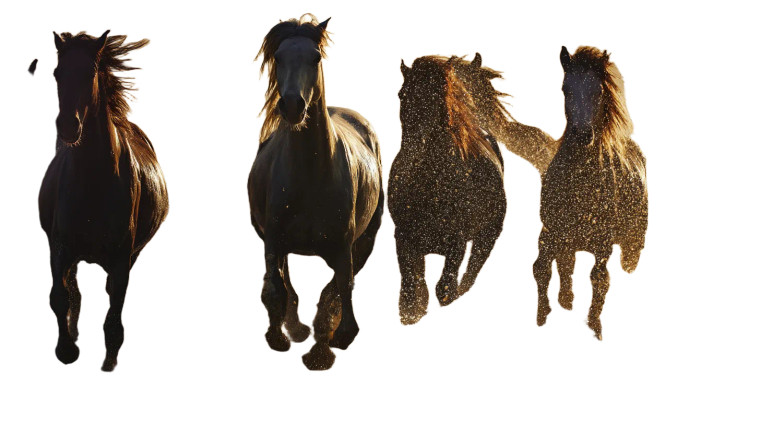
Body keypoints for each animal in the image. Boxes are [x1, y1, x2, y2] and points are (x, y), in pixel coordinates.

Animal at [39, 31, 169, 371]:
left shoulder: (123, 256)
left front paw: (108, 361)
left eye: (90, 73)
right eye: (57, 73)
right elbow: (60, 296)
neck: (93, 182)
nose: (68, 126)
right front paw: (67, 350)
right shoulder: (59, 246)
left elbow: (114, 313)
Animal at [249, 15, 383, 370]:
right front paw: (282, 336)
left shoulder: (344, 247)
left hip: (366, 238)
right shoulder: (273, 241)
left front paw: (323, 350)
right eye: (278, 57)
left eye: (316, 58)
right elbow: (278, 289)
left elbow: (339, 290)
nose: (293, 106)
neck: (311, 176)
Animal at [390, 55, 509, 325]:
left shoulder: (458, 241)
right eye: (402, 94)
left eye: (438, 95)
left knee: (467, 279)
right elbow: (411, 298)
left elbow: (444, 289)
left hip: (487, 238)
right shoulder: (404, 238)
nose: (413, 148)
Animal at [533, 46, 648, 340]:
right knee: (566, 264)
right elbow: (542, 268)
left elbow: (599, 280)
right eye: (566, 88)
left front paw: (595, 327)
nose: (583, 135)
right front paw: (543, 315)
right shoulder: (550, 231)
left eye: (598, 91)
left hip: (631, 244)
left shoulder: (603, 243)